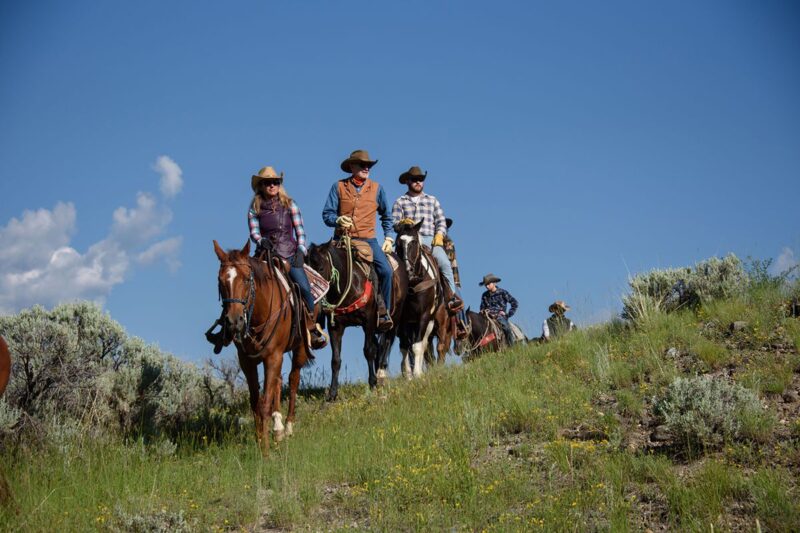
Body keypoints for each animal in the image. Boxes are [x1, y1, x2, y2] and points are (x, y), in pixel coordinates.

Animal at [212, 240, 312, 454]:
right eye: (221, 281)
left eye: (246, 279)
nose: (234, 321)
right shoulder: (247, 362)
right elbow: (255, 403)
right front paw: (260, 442)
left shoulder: (273, 356)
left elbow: (265, 404)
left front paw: (265, 451)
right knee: (278, 382)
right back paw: (278, 429)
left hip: (299, 349)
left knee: (293, 380)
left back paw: (288, 427)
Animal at [306, 237, 406, 400]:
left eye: (320, 268)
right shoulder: (335, 327)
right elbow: (336, 360)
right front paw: (332, 394)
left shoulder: (369, 322)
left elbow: (368, 351)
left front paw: (372, 384)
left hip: (394, 318)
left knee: (386, 344)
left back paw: (381, 375)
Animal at [392, 220, 450, 378]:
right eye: (397, 243)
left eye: (414, 242)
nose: (408, 270)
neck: (413, 284)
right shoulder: (403, 320)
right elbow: (405, 347)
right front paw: (408, 375)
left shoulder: (424, 316)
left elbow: (417, 346)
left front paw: (418, 374)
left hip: (439, 319)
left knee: (438, 346)